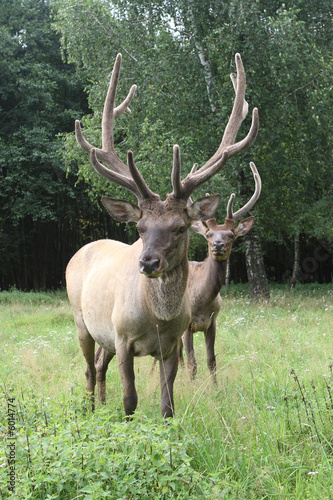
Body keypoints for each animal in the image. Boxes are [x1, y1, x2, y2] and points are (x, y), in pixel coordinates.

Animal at [178, 162, 260, 380]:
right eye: (208, 234)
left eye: (231, 235)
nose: (218, 245)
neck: (201, 303)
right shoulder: (186, 327)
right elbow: (192, 363)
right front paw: (191, 385)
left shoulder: (212, 322)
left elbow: (211, 361)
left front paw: (215, 386)